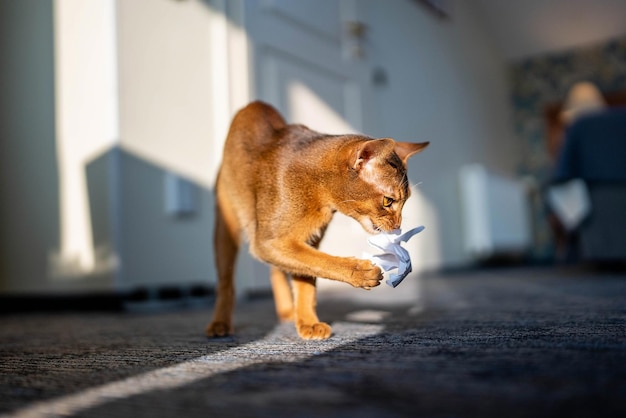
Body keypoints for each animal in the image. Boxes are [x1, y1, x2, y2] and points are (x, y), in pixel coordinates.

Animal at [207, 101, 426, 340]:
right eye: (388, 201)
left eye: (406, 201)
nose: (398, 226)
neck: (317, 186)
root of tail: (254, 104)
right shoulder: (268, 242)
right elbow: (320, 262)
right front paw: (360, 272)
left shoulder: (307, 239)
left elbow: (307, 276)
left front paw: (308, 322)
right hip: (226, 227)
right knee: (225, 281)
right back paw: (219, 323)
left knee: (275, 270)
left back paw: (287, 311)